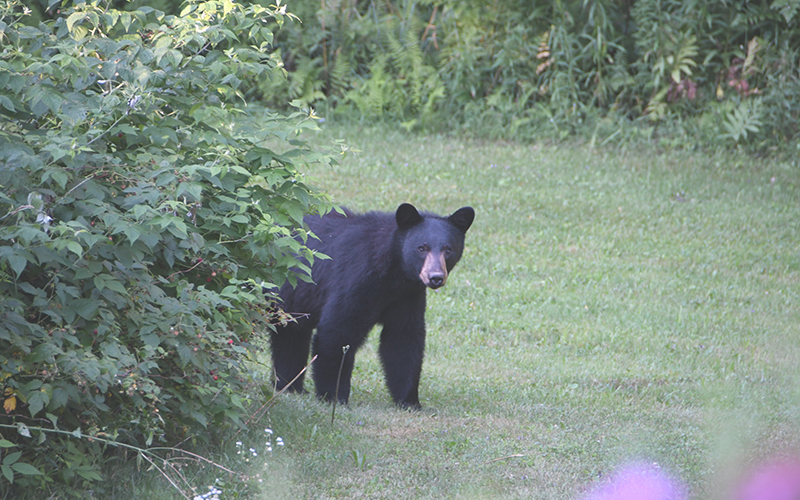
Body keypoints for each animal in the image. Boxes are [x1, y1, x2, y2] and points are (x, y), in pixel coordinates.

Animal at [272, 203, 476, 410]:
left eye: (448, 250)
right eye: (422, 248)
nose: (435, 277)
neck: (392, 273)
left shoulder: (407, 296)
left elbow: (403, 340)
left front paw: (410, 401)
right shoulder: (355, 280)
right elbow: (337, 331)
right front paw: (334, 397)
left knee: (290, 336)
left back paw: (290, 387)